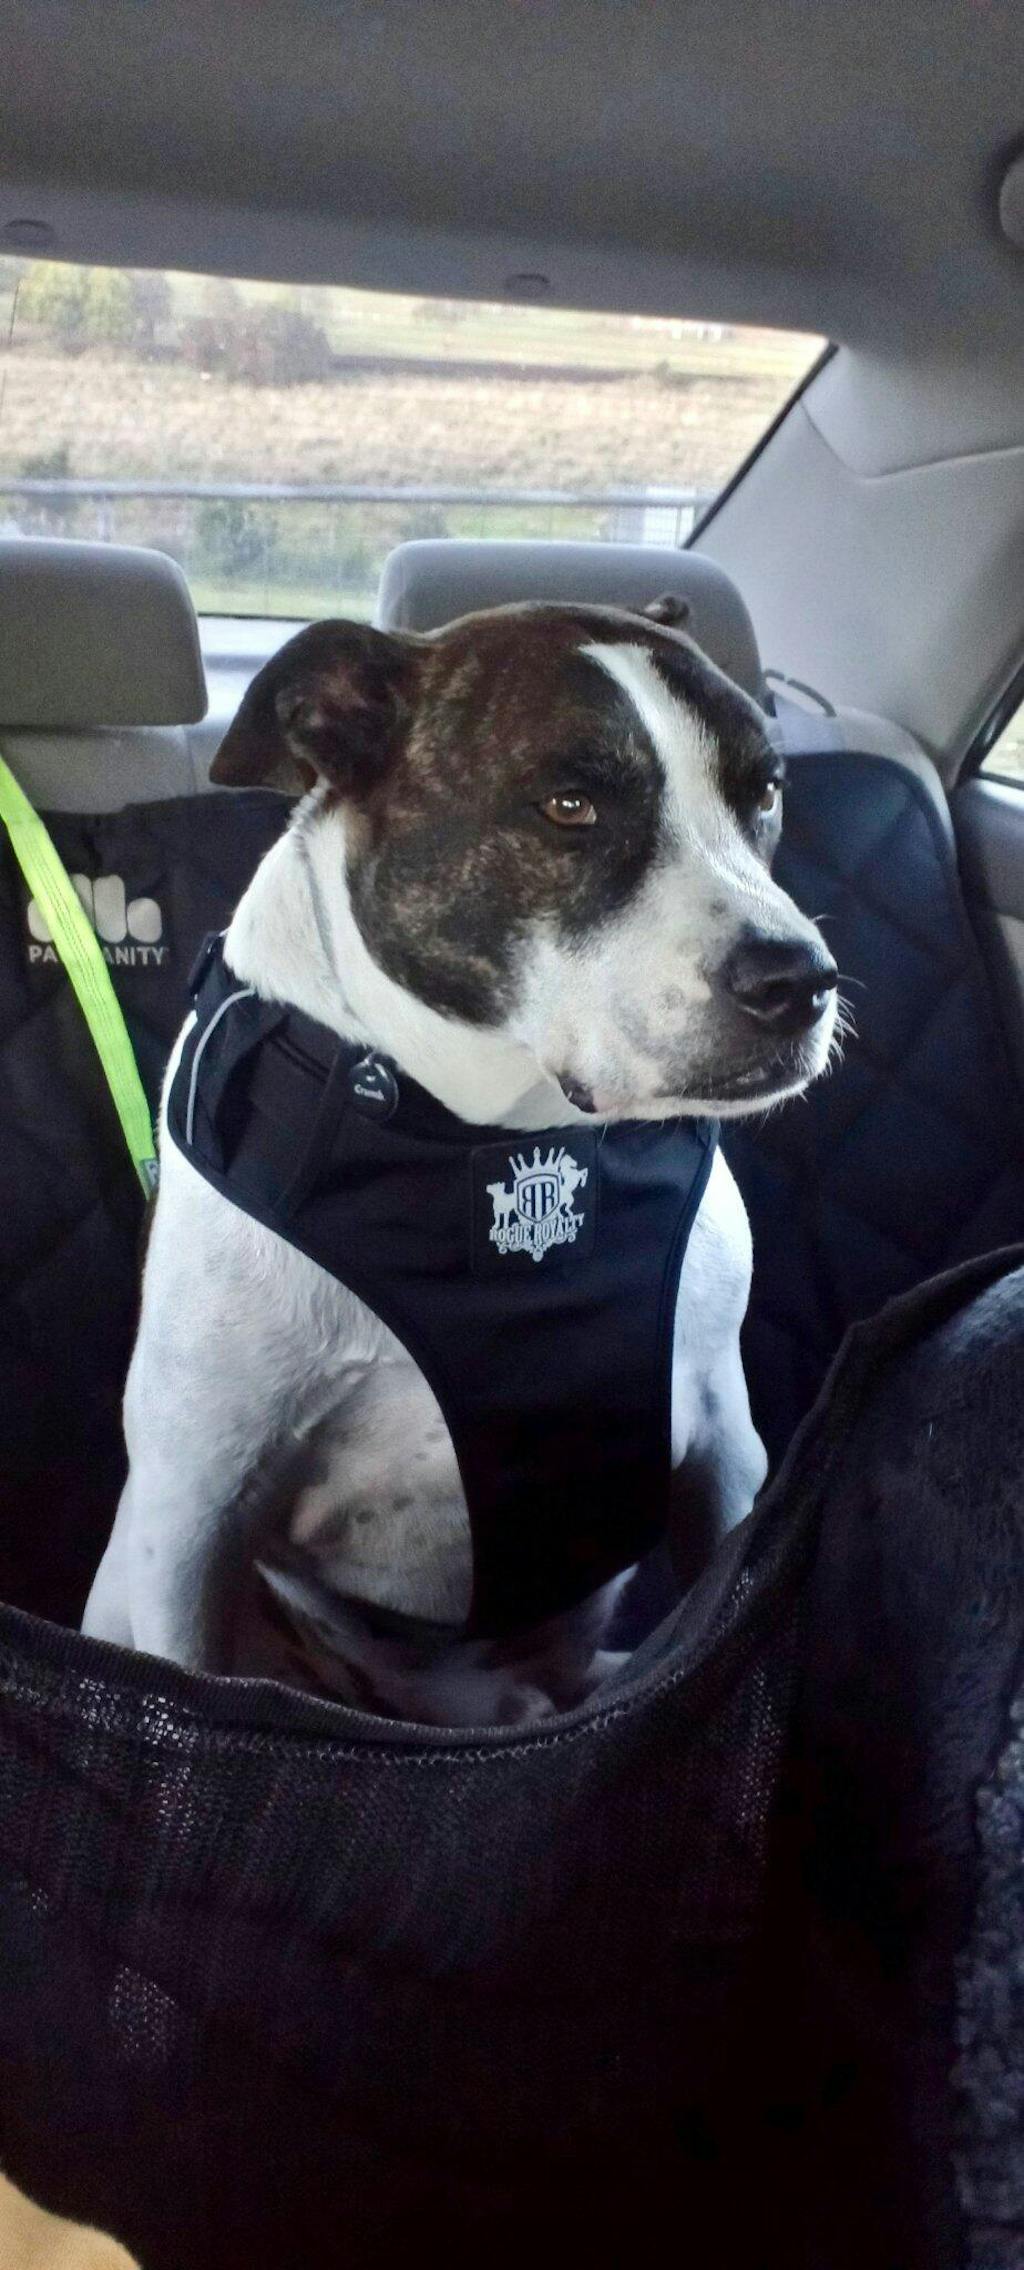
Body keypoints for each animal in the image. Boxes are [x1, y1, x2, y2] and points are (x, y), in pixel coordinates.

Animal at [83, 598, 838, 1724]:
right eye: (568, 805)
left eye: (765, 793)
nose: (799, 981)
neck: (494, 1140)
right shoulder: (192, 1505)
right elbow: (182, 1671)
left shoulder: (719, 1439)